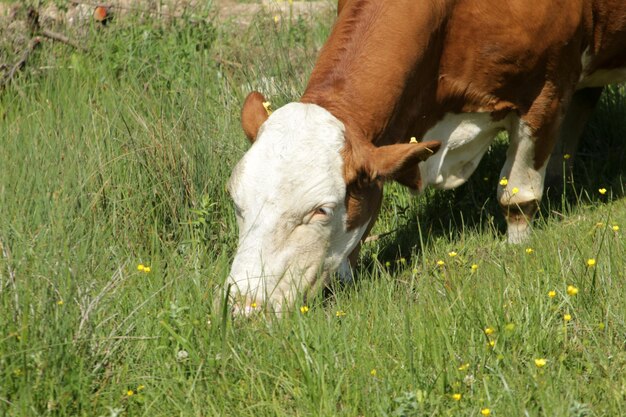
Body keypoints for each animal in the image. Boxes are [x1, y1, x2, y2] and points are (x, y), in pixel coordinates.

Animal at [225, 0, 624, 312]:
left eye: (321, 210)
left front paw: (518, 248)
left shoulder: (547, 91)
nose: (244, 307)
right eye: (236, 203)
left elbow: (517, 196)